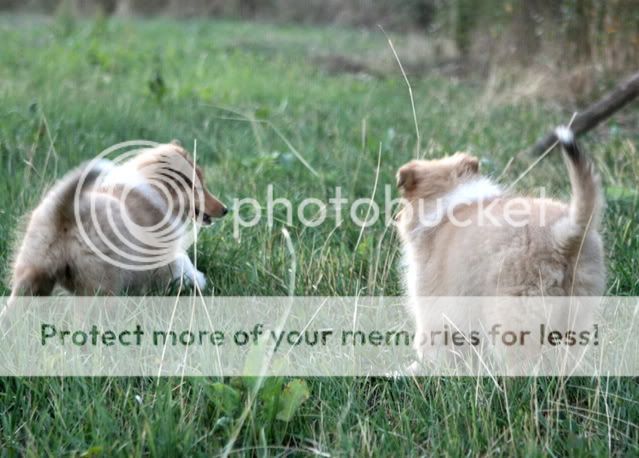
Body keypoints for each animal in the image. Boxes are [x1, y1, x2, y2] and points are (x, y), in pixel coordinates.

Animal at [9, 140, 228, 296]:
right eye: (198, 187)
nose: (226, 209)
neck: (157, 189)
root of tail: (64, 211)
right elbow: (181, 266)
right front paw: (198, 281)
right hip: (100, 283)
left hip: (29, 275)